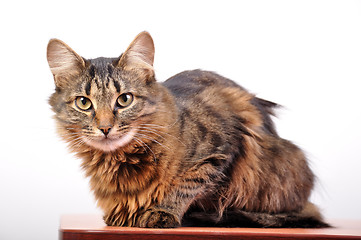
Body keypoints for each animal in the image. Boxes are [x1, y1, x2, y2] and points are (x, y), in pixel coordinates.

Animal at [46, 31, 328, 229]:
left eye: (124, 99)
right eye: (84, 103)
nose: (105, 128)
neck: (121, 162)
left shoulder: (222, 145)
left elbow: (188, 183)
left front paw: (162, 211)